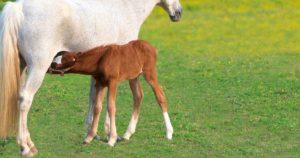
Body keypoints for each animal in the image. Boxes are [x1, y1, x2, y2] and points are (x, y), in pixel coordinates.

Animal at [0, 0, 182, 156]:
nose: (179, 12)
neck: (125, 8)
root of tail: (18, 8)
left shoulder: (98, 73)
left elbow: (94, 98)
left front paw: (92, 133)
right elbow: (109, 102)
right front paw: (110, 134)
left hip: (21, 67)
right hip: (38, 67)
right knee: (25, 99)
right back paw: (26, 147)